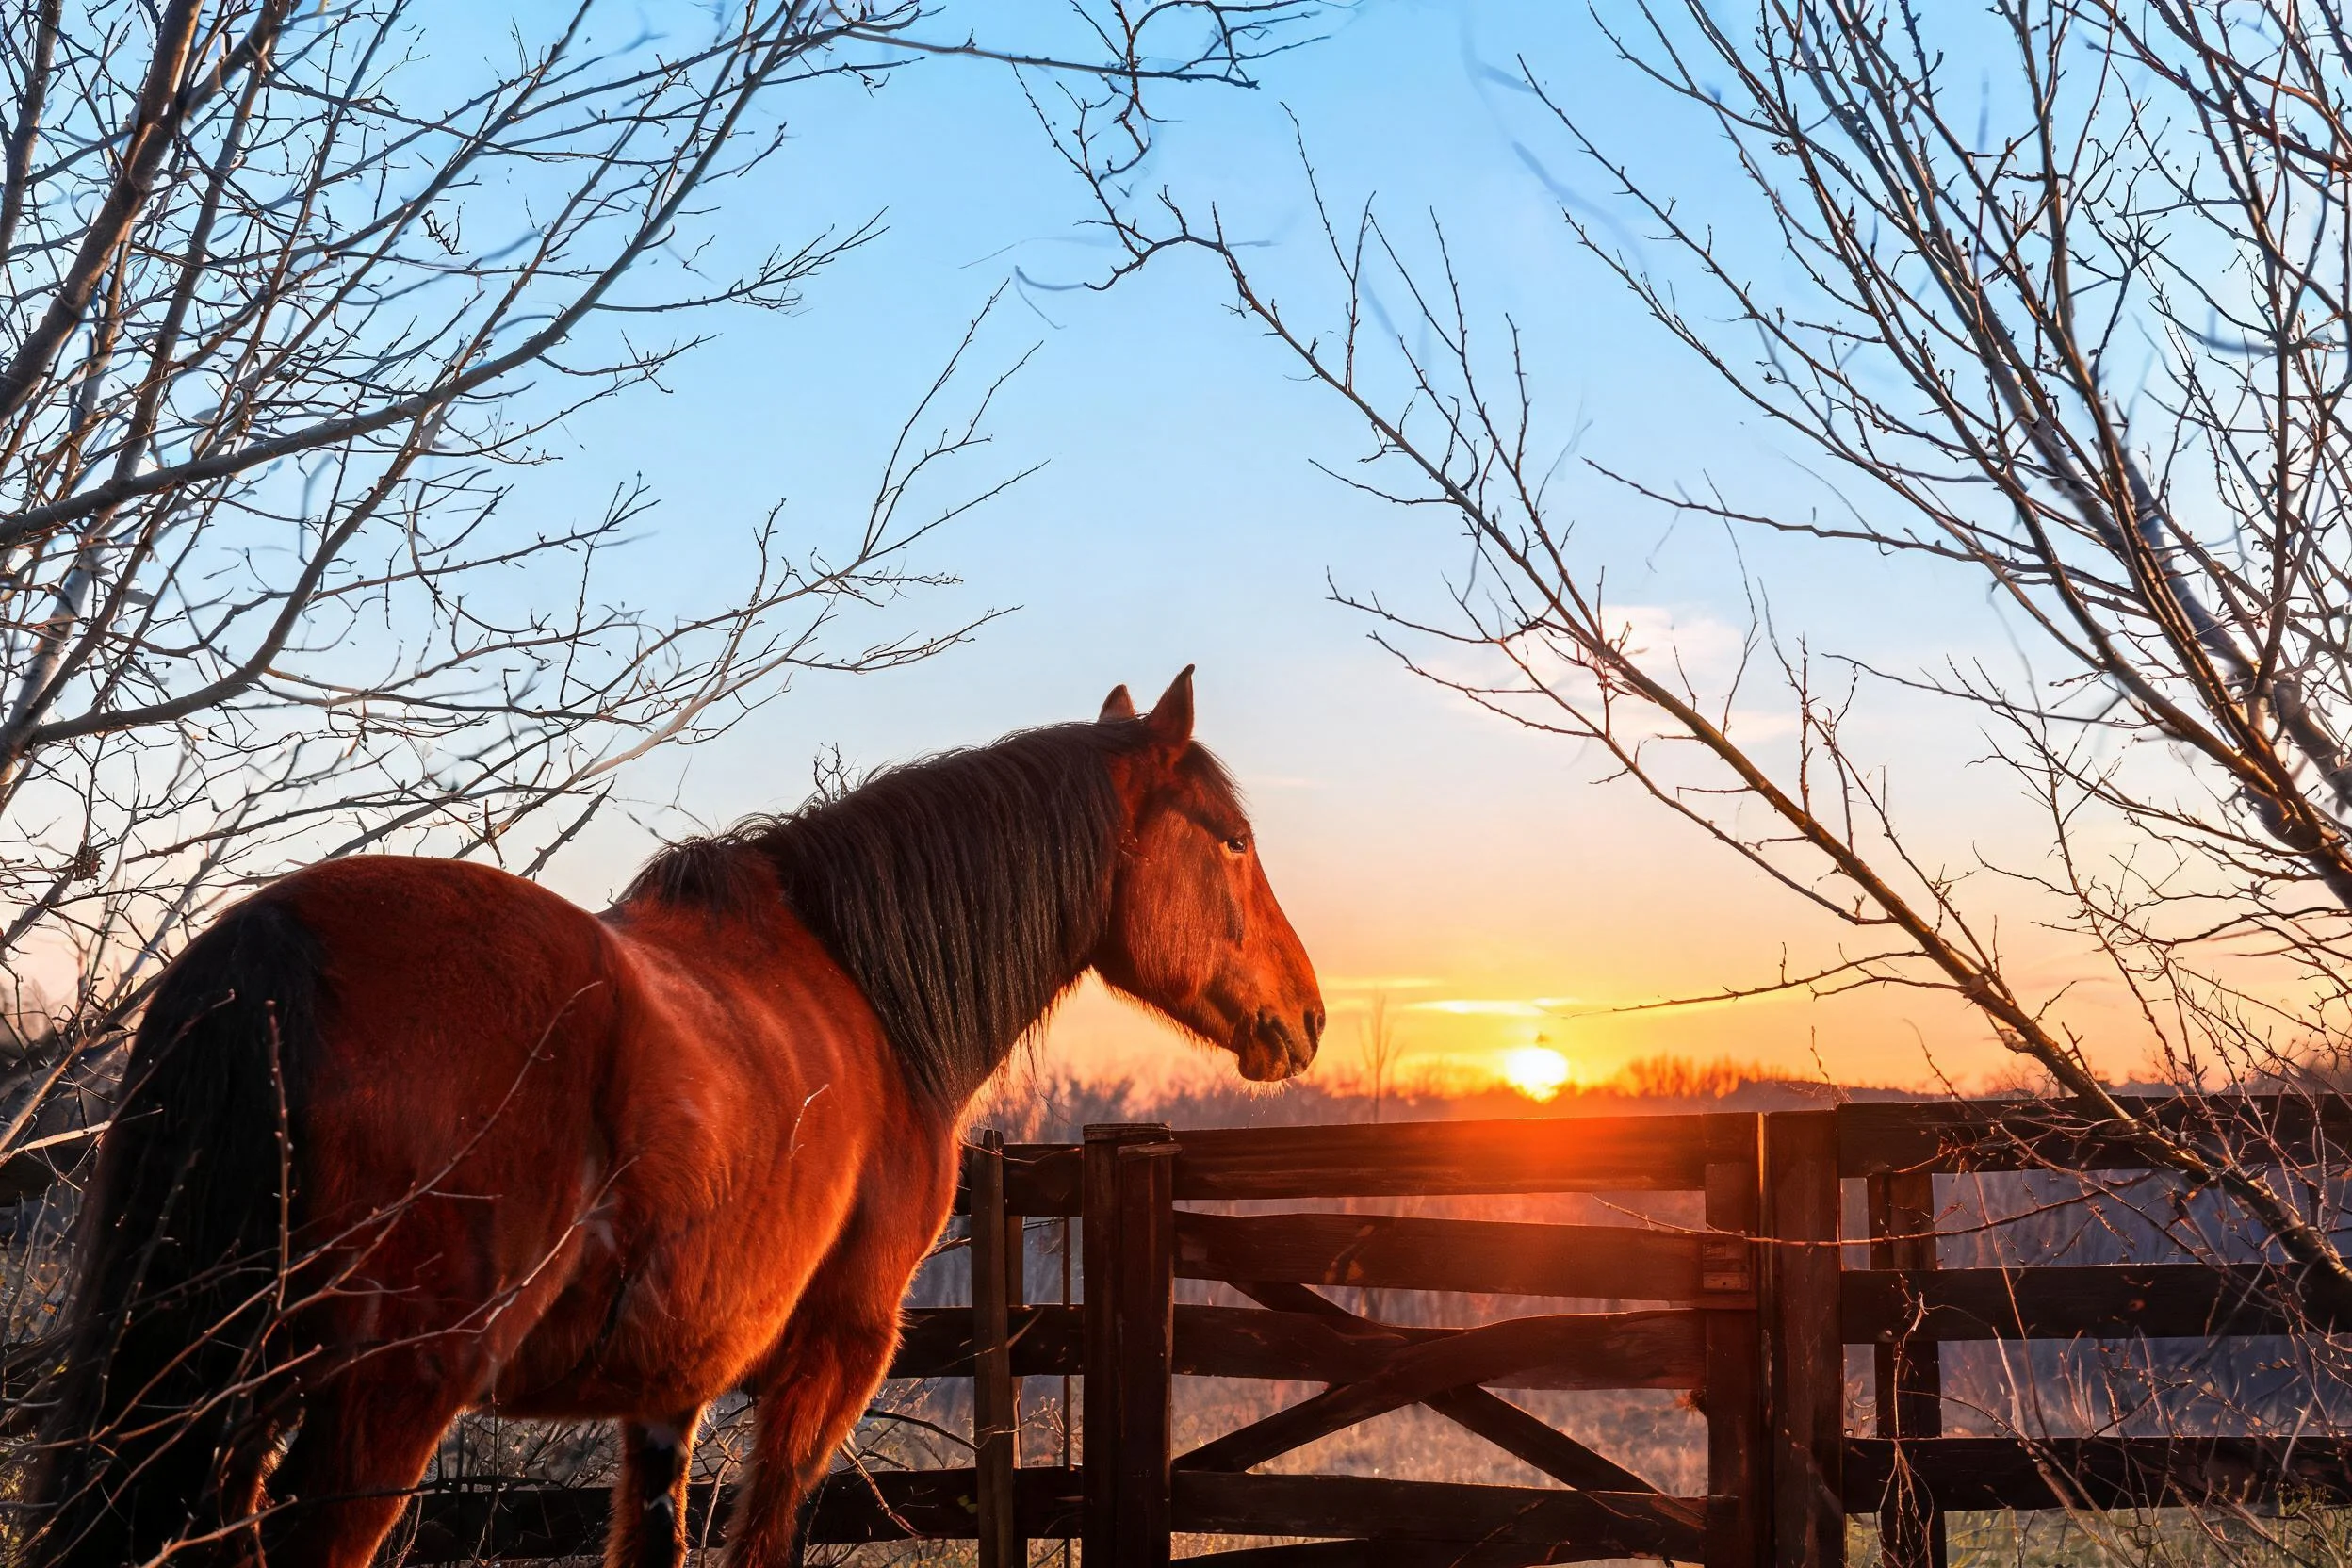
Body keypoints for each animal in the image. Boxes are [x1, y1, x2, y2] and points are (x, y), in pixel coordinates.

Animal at [30, 668, 1323, 1568]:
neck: (865, 989)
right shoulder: (832, 1353)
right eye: (1234, 840)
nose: (1306, 1016)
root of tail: (267, 949)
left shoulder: (665, 1388)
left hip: (210, 1385)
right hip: (373, 1403)